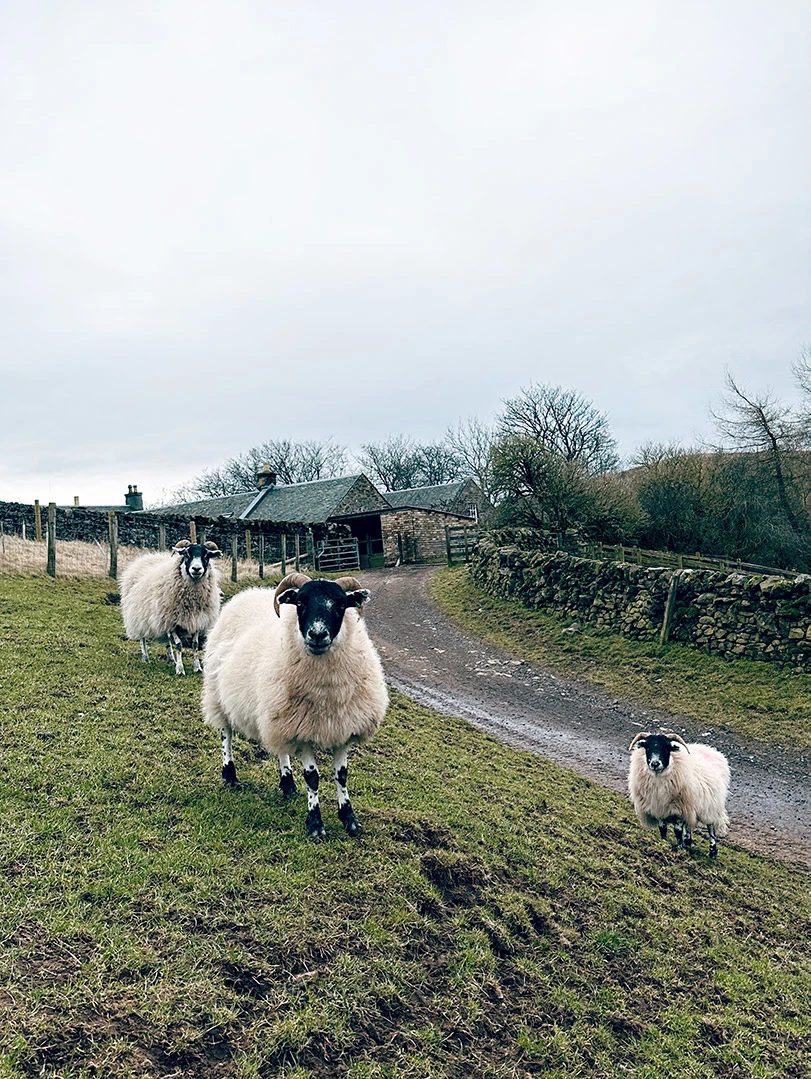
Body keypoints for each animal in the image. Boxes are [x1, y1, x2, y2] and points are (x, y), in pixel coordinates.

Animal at [117, 539, 222, 673]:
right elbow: (179, 644)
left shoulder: (197, 620)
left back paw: (171, 659)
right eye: (186, 554)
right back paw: (145, 657)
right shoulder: (172, 622)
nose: (196, 569)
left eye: (206, 555)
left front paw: (197, 667)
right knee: (142, 637)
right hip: (140, 614)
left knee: (167, 640)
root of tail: (148, 557)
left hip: (162, 619)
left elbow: (194, 644)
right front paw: (180, 669)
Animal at [203, 569, 390, 837]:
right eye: (301, 603)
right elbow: (313, 778)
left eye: (341, 604)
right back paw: (230, 775)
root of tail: (248, 593)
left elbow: (342, 775)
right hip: (218, 695)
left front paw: (349, 819)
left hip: (276, 712)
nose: (317, 634)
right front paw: (315, 824)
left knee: (280, 748)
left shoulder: (341, 728)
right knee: (225, 734)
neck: (326, 694)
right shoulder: (301, 734)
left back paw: (287, 784)